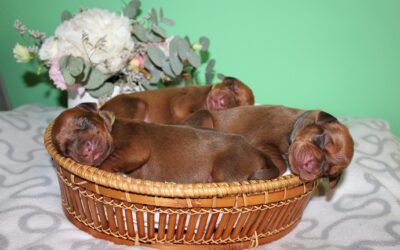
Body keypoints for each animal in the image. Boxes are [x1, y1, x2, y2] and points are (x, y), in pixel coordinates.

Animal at [51, 102, 278, 183]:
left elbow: (107, 164)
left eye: (83, 122)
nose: (86, 150)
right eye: (66, 149)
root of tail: (254, 150)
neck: (113, 130)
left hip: (226, 169)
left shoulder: (136, 149)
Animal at [183, 104, 354, 187]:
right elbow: (281, 164)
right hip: (205, 116)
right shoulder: (262, 141)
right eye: (324, 140)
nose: (312, 166)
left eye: (327, 172)